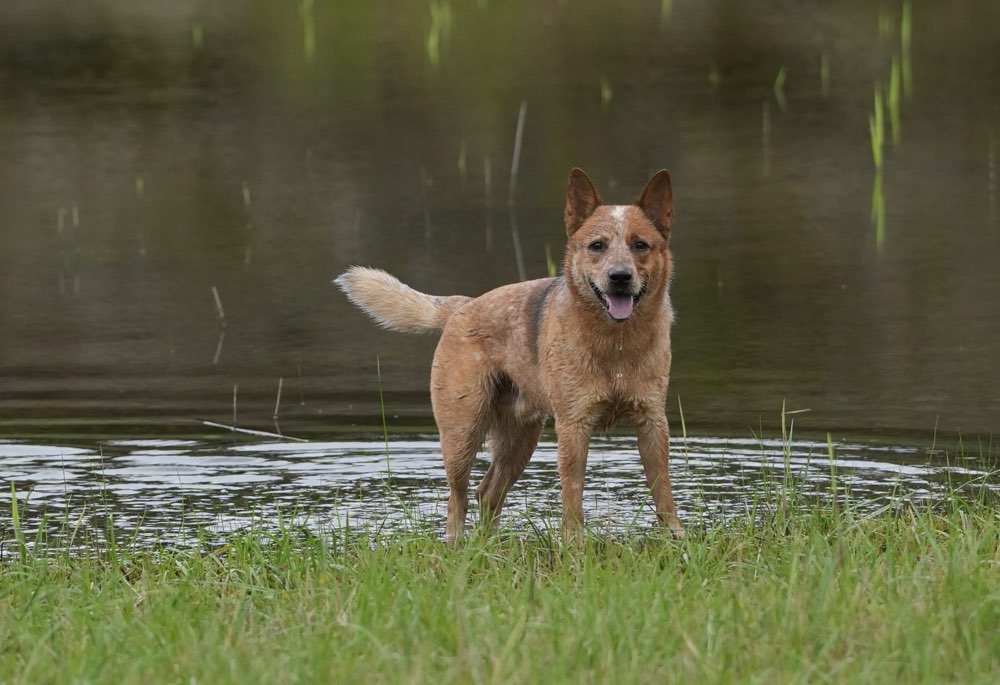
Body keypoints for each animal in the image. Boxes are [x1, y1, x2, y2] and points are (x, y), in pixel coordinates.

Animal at [332, 167, 684, 540]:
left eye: (640, 244)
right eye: (597, 246)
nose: (620, 276)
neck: (616, 345)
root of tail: (463, 305)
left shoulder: (652, 421)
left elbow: (663, 489)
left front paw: (676, 537)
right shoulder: (573, 425)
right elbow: (573, 493)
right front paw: (574, 544)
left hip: (521, 436)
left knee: (488, 491)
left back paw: (489, 544)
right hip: (462, 432)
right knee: (457, 499)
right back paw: (457, 544)